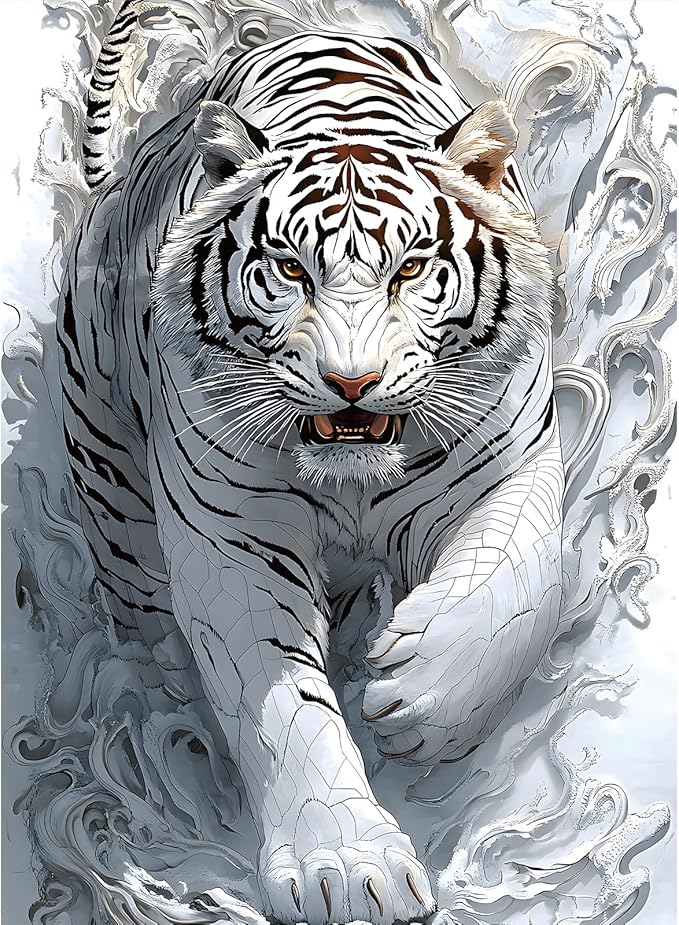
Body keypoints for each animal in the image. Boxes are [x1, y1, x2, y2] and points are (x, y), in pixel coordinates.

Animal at [57, 2, 564, 922]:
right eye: (290, 268)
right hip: (114, 491)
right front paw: (349, 871)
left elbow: (519, 583)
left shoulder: (510, 459)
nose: (350, 381)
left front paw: (419, 696)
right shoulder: (229, 535)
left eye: (411, 267)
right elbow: (277, 698)